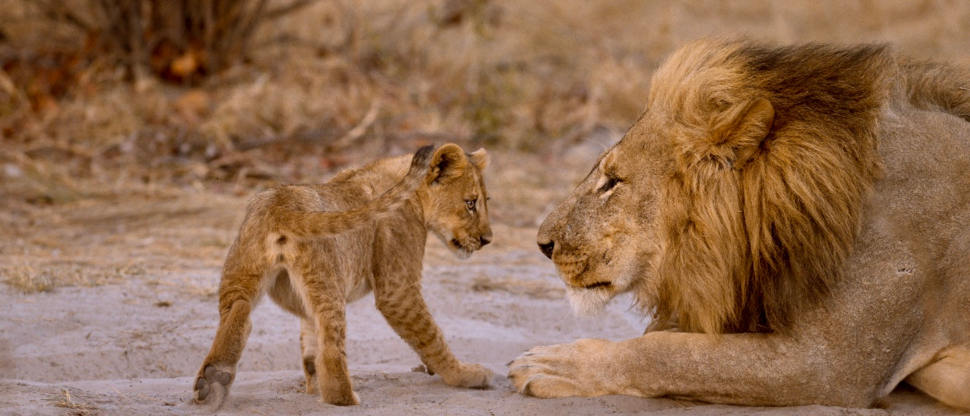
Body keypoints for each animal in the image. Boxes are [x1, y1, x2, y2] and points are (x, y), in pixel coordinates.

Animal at [193, 143, 494, 407]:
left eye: (483, 201)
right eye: (471, 203)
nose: (487, 240)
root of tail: (280, 204)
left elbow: (308, 339)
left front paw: (313, 384)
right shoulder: (398, 289)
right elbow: (431, 336)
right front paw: (465, 375)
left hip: (244, 271)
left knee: (239, 310)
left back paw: (212, 379)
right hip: (328, 278)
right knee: (330, 348)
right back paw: (345, 398)